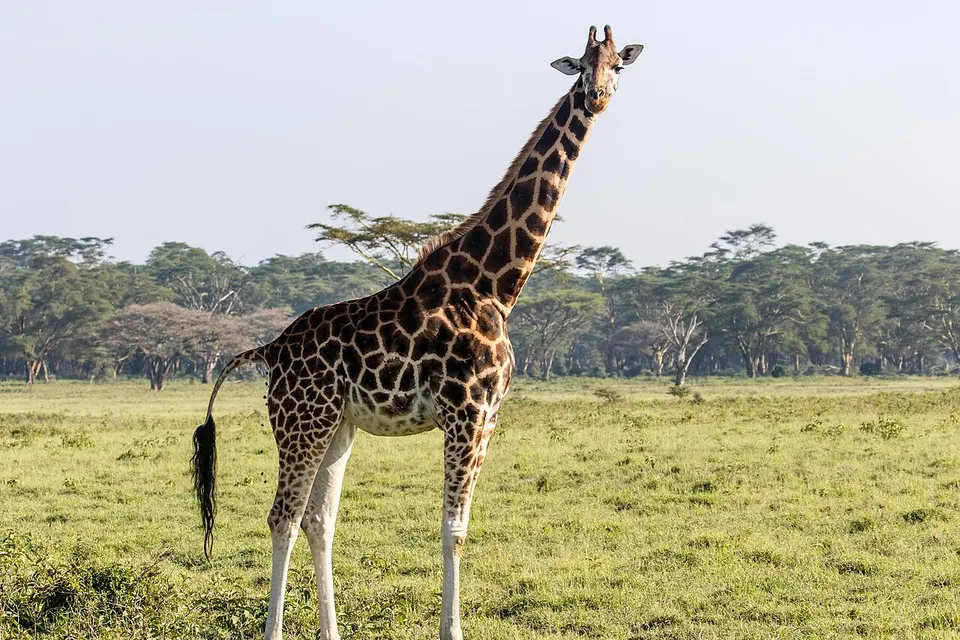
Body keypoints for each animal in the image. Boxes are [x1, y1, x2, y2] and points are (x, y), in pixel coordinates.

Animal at [192, 25, 643, 640]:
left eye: (618, 65)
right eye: (580, 65)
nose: (597, 96)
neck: (494, 284)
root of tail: (271, 349)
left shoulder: (486, 416)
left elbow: (456, 526)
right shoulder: (468, 412)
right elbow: (454, 528)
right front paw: (453, 630)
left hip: (338, 424)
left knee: (317, 518)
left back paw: (332, 632)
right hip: (301, 420)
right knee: (283, 516)